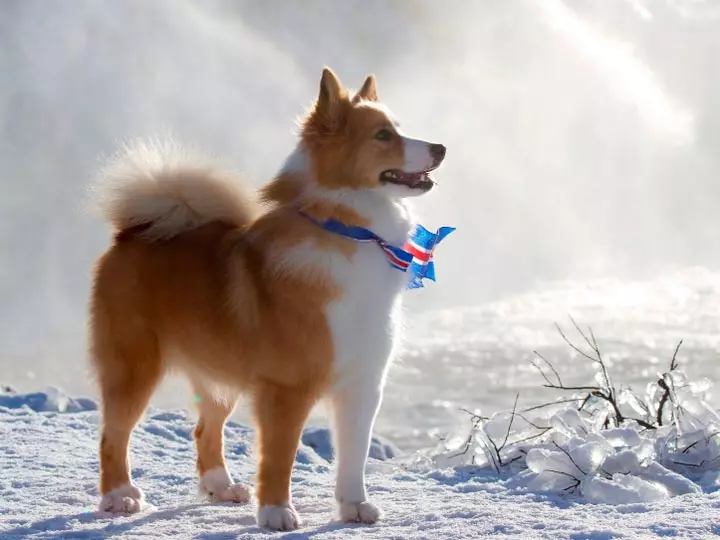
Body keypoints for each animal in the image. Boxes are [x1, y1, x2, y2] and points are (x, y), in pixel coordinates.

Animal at [88, 67, 444, 532]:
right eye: (383, 135)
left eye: (399, 127)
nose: (440, 148)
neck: (349, 229)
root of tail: (132, 233)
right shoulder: (286, 388)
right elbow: (279, 457)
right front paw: (276, 511)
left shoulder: (363, 383)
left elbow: (354, 456)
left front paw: (354, 506)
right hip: (134, 367)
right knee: (113, 435)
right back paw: (119, 496)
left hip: (217, 376)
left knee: (205, 431)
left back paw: (220, 487)